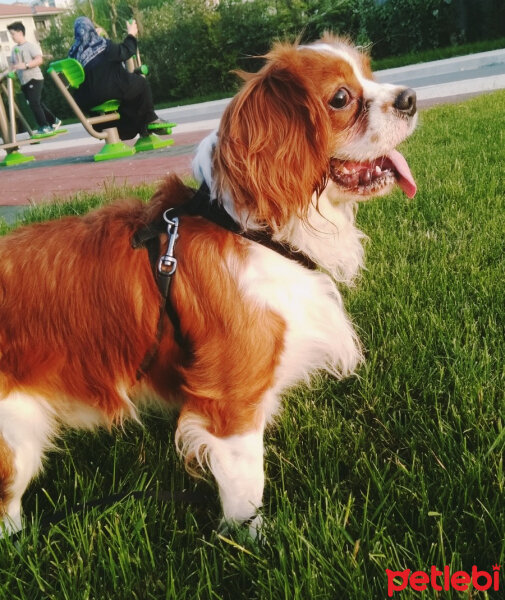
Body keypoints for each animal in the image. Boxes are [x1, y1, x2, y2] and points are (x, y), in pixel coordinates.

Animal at [0, 35, 418, 536]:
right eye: (340, 97)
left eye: (370, 74)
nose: (411, 98)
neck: (250, 229)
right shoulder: (230, 407)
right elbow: (246, 492)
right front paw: (256, 541)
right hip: (15, 436)